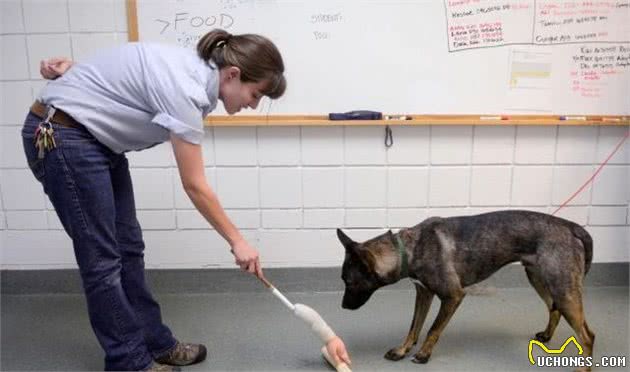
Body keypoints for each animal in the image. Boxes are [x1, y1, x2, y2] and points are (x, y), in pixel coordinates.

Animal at [338, 209, 596, 370]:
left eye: (349, 282)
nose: (342, 306)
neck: (410, 248)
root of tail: (571, 227)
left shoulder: (452, 296)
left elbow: (432, 329)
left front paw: (423, 355)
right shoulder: (424, 294)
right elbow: (414, 328)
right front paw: (403, 350)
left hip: (563, 289)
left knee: (587, 336)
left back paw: (582, 368)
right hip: (540, 279)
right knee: (554, 309)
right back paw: (547, 336)